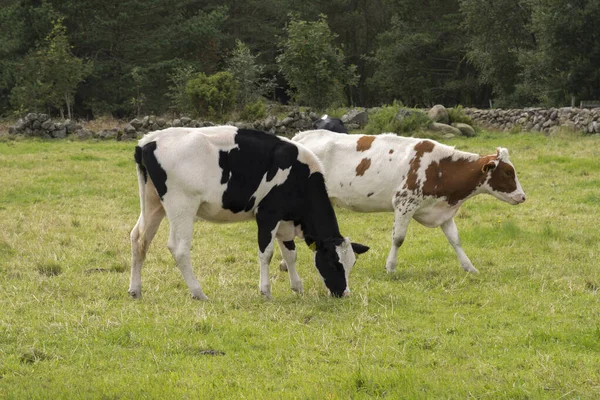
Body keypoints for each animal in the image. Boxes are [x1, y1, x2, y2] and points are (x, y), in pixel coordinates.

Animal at [129, 126, 368, 298]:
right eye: (333, 263)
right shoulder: (267, 214)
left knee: (139, 238)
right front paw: (265, 291)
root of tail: (149, 140)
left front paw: (297, 287)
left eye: (352, 264)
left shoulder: (284, 221)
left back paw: (135, 290)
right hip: (182, 206)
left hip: (152, 203)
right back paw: (198, 292)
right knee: (178, 248)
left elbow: (290, 254)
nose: (344, 293)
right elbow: (267, 253)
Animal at [290, 131, 524, 276]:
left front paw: (470, 267)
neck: (440, 167)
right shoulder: (405, 203)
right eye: (507, 172)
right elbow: (398, 238)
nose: (523, 196)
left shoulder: (443, 211)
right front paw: (391, 267)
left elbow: (455, 240)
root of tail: (301, 136)